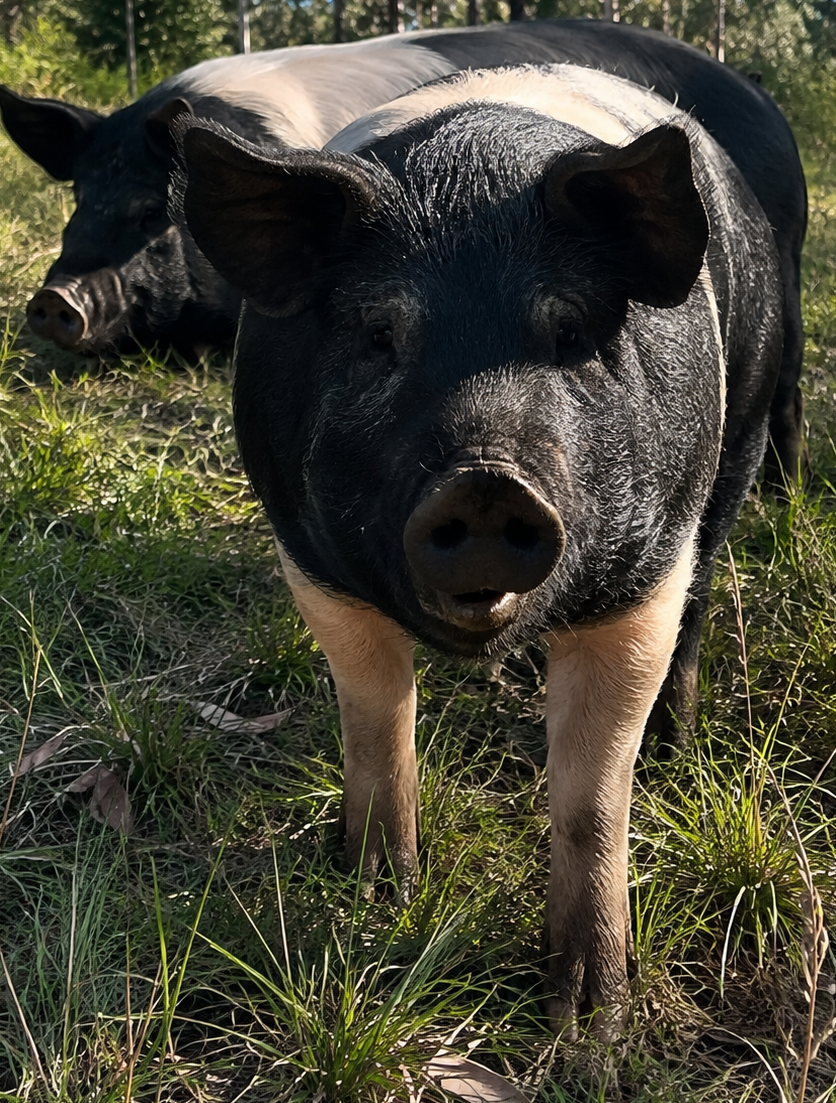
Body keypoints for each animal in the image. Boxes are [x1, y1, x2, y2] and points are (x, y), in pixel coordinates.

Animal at [0, 19, 804, 482]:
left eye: (147, 213)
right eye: (78, 201)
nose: (52, 300)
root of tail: (759, 97)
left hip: (785, 259)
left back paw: (784, 491)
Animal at [174, 63, 784, 1038]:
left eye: (570, 333)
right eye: (380, 334)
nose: (486, 482)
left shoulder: (642, 577)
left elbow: (592, 791)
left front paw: (590, 1017)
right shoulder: (312, 561)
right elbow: (376, 720)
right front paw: (375, 893)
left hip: (744, 439)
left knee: (700, 609)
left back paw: (675, 749)